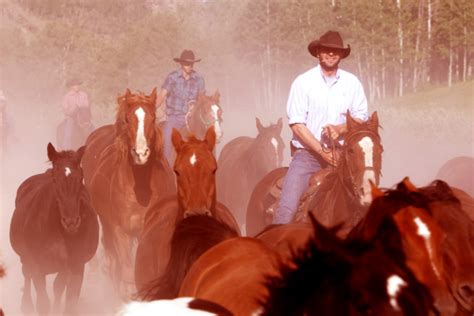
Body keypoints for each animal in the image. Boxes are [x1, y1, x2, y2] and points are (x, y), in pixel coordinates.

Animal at [9, 144, 99, 316]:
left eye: (81, 177)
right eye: (55, 179)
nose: (71, 222)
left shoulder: (76, 266)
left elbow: (68, 300)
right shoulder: (37, 266)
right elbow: (43, 303)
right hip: (26, 258)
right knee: (27, 274)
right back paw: (26, 304)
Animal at [80, 87, 175, 296]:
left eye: (153, 118)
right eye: (127, 119)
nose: (141, 153)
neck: (141, 189)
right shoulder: (120, 231)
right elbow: (126, 271)